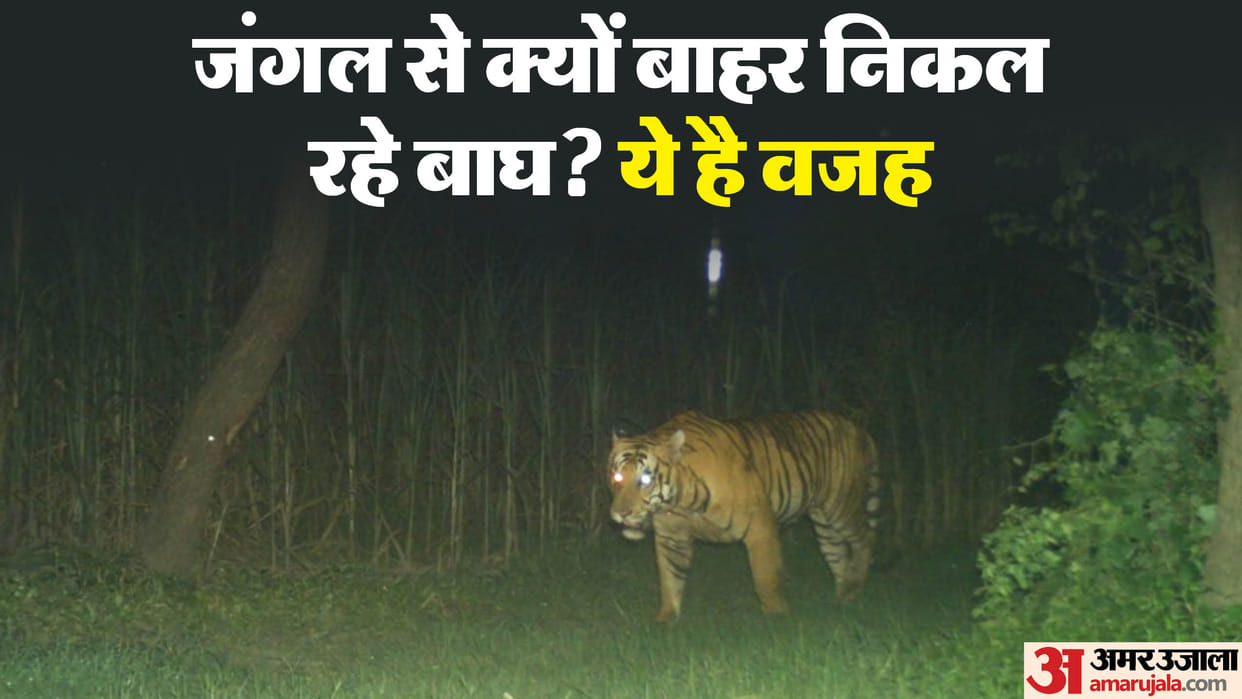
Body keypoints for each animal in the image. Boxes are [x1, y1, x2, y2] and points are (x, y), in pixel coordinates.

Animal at [606, 409, 881, 622]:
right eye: (617, 477)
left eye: (645, 480)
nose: (621, 514)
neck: (681, 500)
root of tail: (858, 427)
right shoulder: (672, 537)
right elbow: (669, 579)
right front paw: (666, 621)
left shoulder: (760, 527)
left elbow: (766, 576)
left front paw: (777, 619)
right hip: (823, 523)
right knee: (838, 554)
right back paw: (843, 597)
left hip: (841, 506)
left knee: (865, 538)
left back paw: (854, 585)